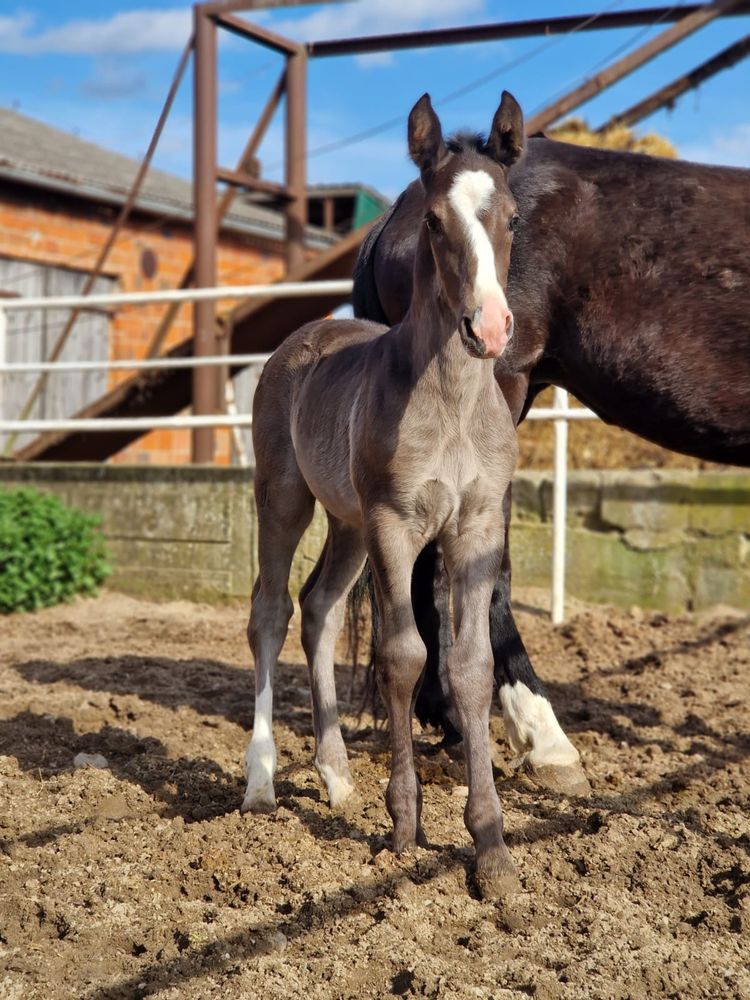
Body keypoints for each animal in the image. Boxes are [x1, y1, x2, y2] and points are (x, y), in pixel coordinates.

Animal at [244, 90, 524, 896]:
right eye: (432, 220)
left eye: (514, 216)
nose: (491, 326)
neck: (453, 403)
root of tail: (302, 338)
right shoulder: (396, 524)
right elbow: (405, 656)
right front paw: (404, 827)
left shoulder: (475, 528)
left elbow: (470, 666)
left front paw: (491, 848)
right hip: (285, 499)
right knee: (270, 611)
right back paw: (260, 780)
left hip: (345, 524)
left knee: (319, 609)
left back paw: (336, 777)